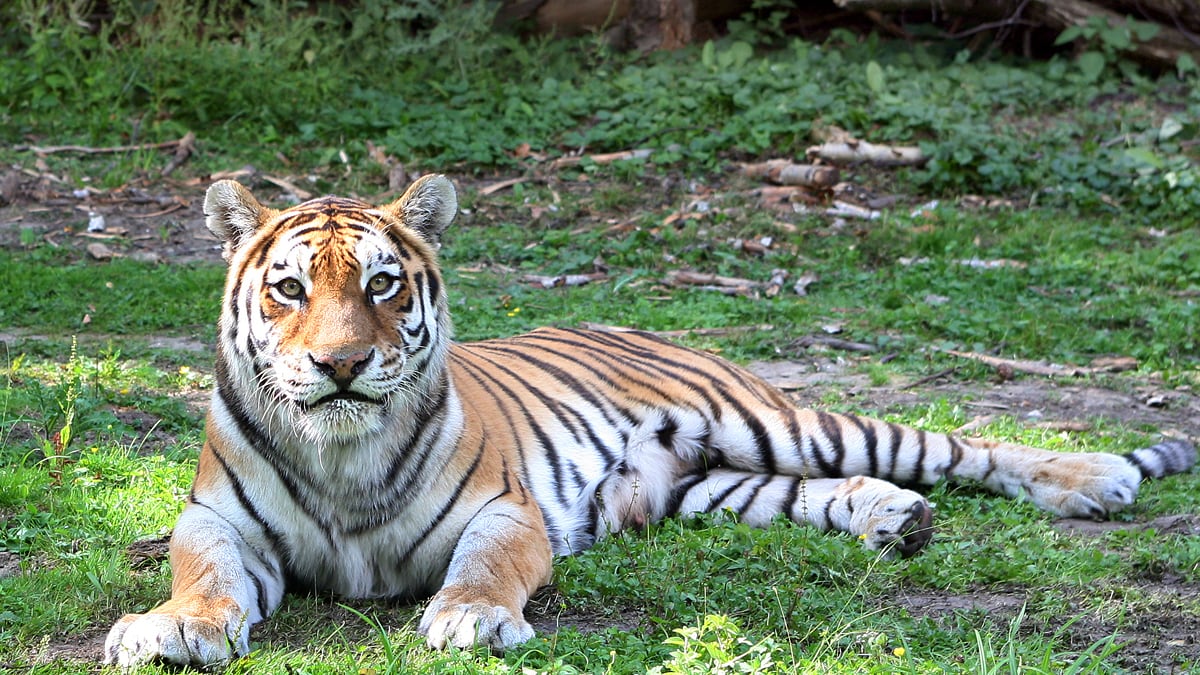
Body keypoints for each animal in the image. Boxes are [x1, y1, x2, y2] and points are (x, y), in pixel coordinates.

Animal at [103, 174, 1196, 668]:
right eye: (288, 288)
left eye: (381, 285)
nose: (339, 365)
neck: (340, 454)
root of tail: (645, 324)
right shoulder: (217, 520)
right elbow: (203, 574)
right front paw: (172, 627)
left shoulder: (505, 511)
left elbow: (484, 567)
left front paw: (470, 617)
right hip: (719, 486)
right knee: (827, 491)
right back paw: (898, 520)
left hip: (780, 421)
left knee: (956, 443)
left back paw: (1095, 477)